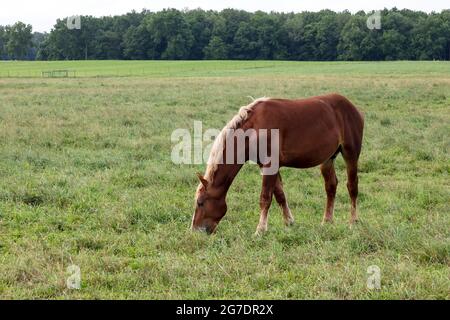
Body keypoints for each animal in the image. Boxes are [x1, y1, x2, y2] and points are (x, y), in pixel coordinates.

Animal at [192, 93, 364, 235]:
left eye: (200, 203)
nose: (195, 230)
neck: (254, 129)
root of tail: (352, 107)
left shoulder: (270, 165)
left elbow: (265, 198)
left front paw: (260, 230)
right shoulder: (266, 166)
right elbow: (280, 195)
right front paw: (289, 222)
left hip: (350, 153)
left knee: (352, 186)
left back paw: (353, 222)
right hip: (328, 158)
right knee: (331, 186)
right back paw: (327, 221)